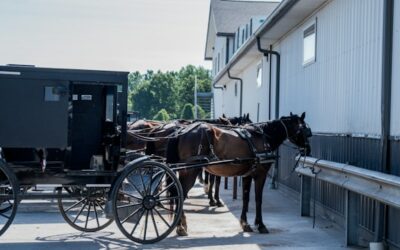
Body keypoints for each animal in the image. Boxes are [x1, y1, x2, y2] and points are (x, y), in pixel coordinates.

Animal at [166, 113, 312, 236]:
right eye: (304, 130)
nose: (308, 150)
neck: (263, 137)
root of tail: (182, 131)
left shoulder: (248, 175)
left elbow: (246, 198)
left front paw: (245, 223)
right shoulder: (260, 175)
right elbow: (258, 199)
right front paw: (260, 225)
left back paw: (180, 225)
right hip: (190, 171)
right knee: (180, 194)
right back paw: (180, 226)